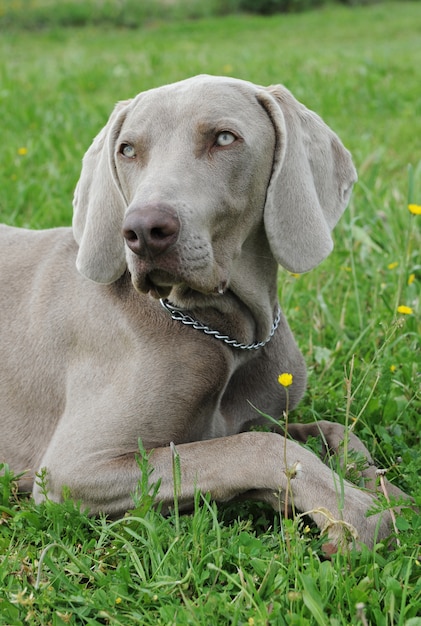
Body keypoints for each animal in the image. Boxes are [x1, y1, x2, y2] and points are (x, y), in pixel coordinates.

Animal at [0, 74, 406, 544]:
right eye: (127, 149)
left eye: (224, 138)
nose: (142, 230)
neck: (225, 331)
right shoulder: (71, 470)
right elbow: (259, 446)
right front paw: (357, 509)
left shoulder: (262, 415)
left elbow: (333, 429)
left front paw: (387, 489)